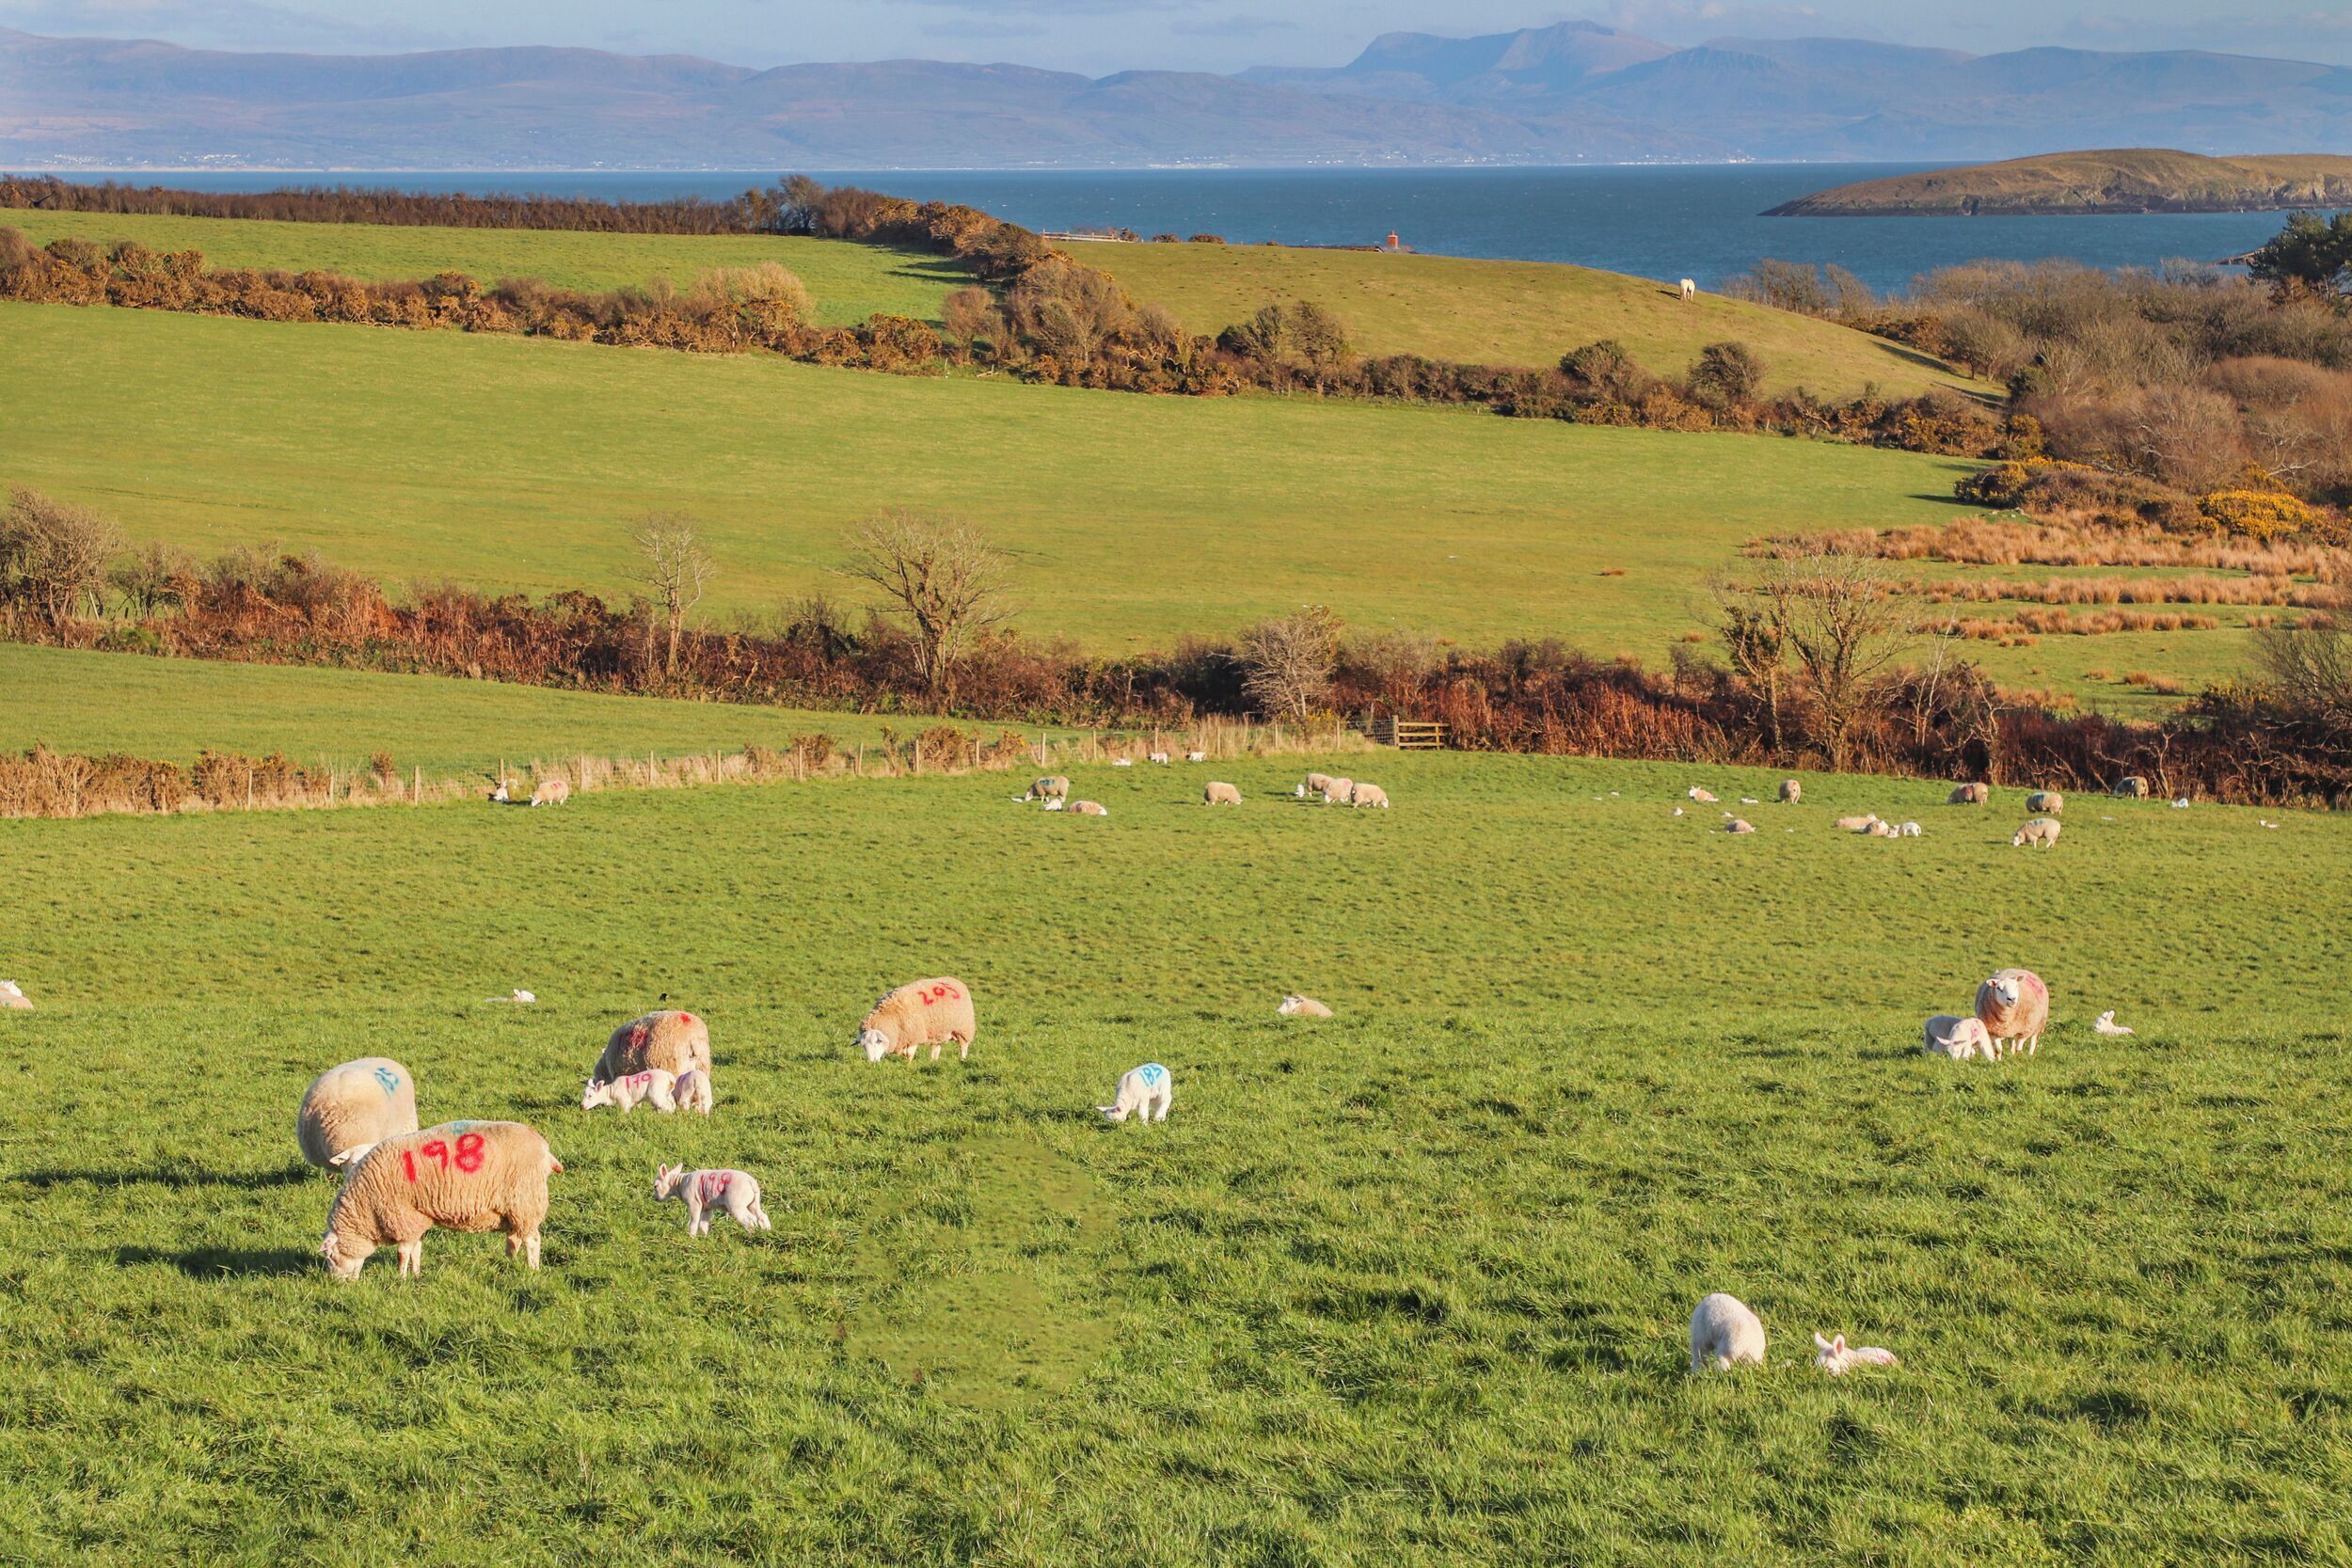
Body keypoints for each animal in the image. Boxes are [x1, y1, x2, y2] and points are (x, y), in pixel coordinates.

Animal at [319, 1120, 561, 1280]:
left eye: (330, 1256)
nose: (336, 1283)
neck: (366, 1205)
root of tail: (545, 1150)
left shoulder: (403, 1217)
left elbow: (402, 1253)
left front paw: (400, 1278)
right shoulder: (417, 1218)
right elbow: (416, 1249)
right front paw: (416, 1275)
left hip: (526, 1201)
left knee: (532, 1240)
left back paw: (532, 1269)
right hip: (515, 1210)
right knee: (516, 1237)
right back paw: (510, 1262)